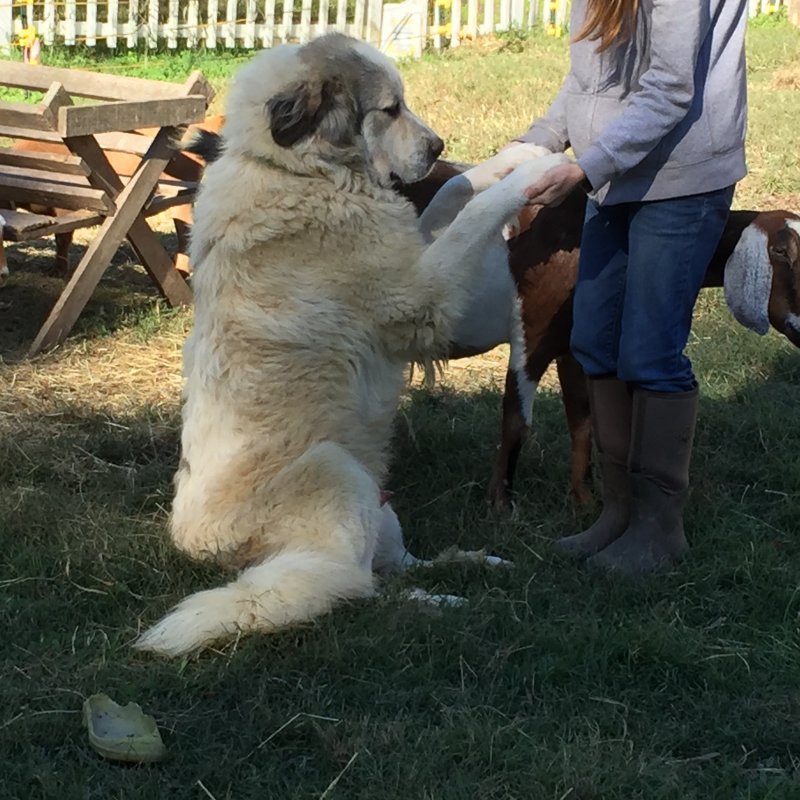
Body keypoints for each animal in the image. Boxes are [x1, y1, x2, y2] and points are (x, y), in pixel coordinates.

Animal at [134, 32, 564, 656]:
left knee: (393, 570)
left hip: (377, 507)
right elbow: (473, 216)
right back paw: (440, 602)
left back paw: (468, 569)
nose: (438, 145)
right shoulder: (419, 296)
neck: (296, 169)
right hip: (336, 470)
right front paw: (538, 174)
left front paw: (516, 158)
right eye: (389, 109)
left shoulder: (414, 250)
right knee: (357, 588)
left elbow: (455, 189)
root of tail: (196, 547)